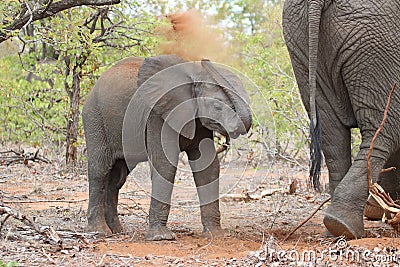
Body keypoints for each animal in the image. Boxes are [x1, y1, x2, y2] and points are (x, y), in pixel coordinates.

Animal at [81, 55, 252, 242]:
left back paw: (118, 231)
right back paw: (99, 232)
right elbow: (164, 163)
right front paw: (161, 238)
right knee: (100, 170)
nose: (205, 59)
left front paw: (215, 235)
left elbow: (207, 166)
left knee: (117, 177)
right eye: (217, 106)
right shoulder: (156, 116)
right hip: (95, 118)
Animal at [282, 0, 400, 239]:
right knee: (386, 130)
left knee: (331, 137)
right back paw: (344, 226)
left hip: (299, 40)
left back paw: (335, 229)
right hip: (376, 40)